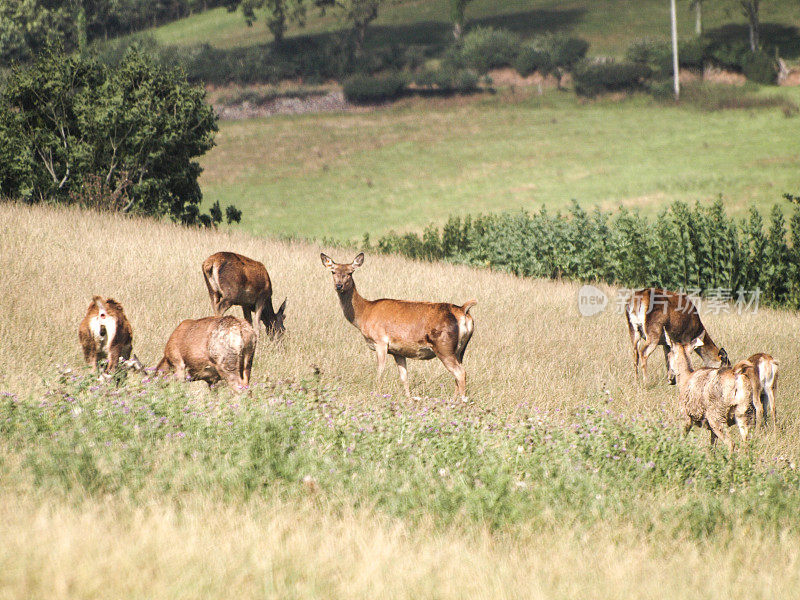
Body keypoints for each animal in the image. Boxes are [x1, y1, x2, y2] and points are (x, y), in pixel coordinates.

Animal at [322, 251, 478, 400]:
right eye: (333, 272)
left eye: (350, 272)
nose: (339, 286)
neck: (364, 314)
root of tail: (463, 310)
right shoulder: (398, 351)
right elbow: (404, 377)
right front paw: (408, 398)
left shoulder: (380, 341)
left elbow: (380, 372)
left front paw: (376, 394)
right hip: (460, 350)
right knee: (458, 373)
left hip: (444, 346)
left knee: (460, 373)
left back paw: (460, 402)